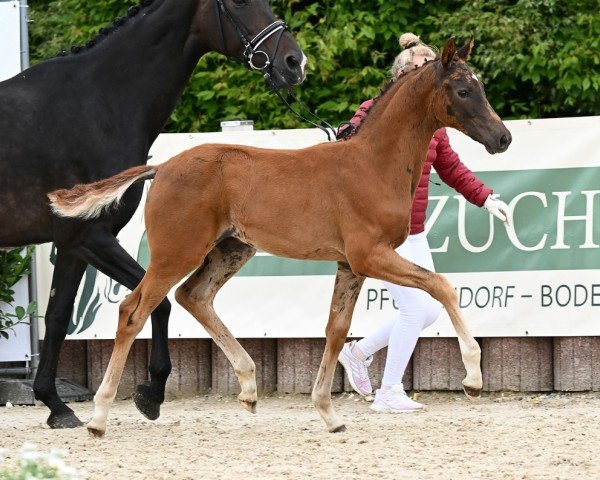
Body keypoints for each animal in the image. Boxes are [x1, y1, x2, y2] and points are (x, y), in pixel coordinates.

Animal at [0, 0, 304, 430]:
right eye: (239, 2)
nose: (295, 62)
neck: (97, 102)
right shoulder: (89, 237)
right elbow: (157, 304)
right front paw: (151, 392)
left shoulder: (73, 245)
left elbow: (58, 317)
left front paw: (55, 405)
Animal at [50, 37, 510, 436]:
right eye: (464, 90)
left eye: (481, 87)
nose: (502, 137)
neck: (372, 164)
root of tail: (160, 167)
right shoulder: (370, 255)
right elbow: (442, 285)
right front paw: (473, 378)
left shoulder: (350, 264)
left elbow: (336, 329)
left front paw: (328, 413)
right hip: (176, 253)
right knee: (134, 310)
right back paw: (99, 417)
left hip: (232, 249)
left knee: (193, 297)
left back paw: (249, 388)